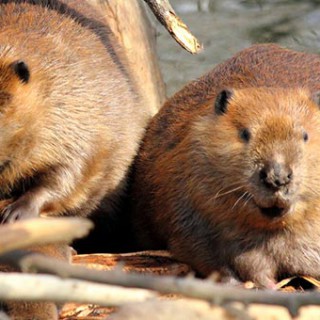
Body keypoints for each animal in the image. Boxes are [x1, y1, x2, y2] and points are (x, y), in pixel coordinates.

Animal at [130, 43, 320, 288]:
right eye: (245, 133)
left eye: (305, 135)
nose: (277, 177)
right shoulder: (186, 196)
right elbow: (207, 252)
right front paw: (247, 283)